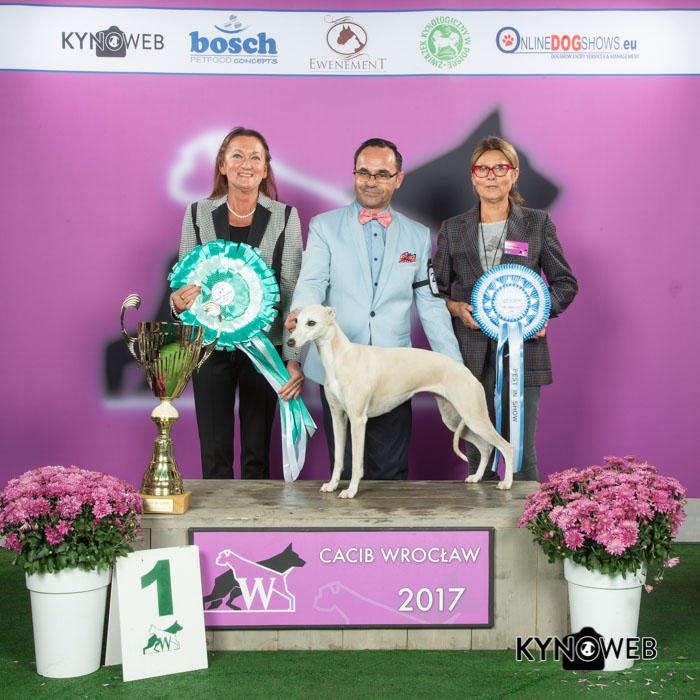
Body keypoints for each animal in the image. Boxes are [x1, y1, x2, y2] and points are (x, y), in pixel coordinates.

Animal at [287, 304, 514, 498]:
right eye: (296, 320)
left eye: (311, 323)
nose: (290, 342)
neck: (340, 357)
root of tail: (468, 373)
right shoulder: (338, 417)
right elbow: (338, 459)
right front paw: (332, 485)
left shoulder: (358, 419)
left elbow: (357, 463)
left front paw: (351, 490)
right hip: (454, 419)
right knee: (485, 447)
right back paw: (476, 477)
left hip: (474, 417)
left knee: (505, 446)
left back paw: (506, 483)